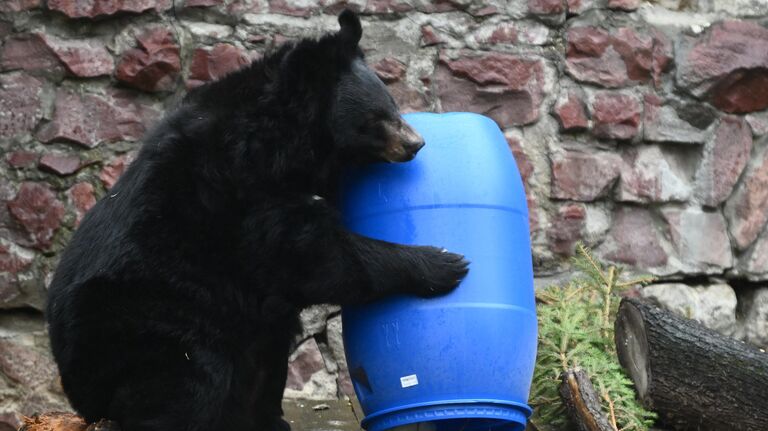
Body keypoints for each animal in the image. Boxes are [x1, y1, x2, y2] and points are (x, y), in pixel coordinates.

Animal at [48, 9, 472, 431]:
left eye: (393, 106)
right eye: (378, 116)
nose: (416, 144)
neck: (295, 141)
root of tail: (77, 389)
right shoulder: (245, 189)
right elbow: (316, 258)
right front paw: (445, 263)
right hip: (152, 319)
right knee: (190, 377)